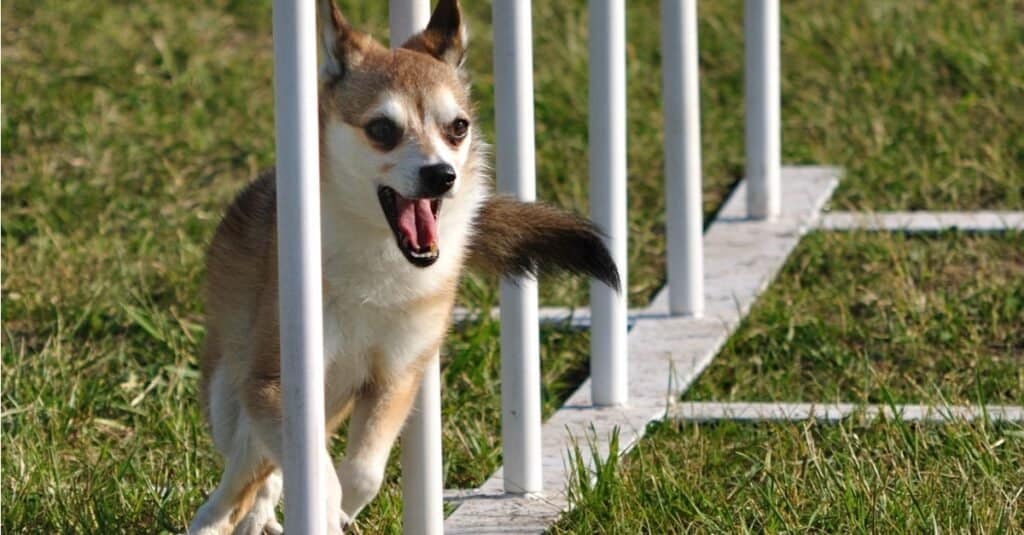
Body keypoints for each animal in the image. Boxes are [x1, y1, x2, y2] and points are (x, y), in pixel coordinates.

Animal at [189, 2, 618, 528]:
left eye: (458, 127)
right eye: (382, 130)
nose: (441, 175)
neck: (379, 262)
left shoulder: (395, 377)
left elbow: (362, 473)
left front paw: (341, 511)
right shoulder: (274, 382)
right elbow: (310, 472)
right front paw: (320, 508)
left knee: (267, 468)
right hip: (231, 391)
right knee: (244, 461)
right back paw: (217, 519)